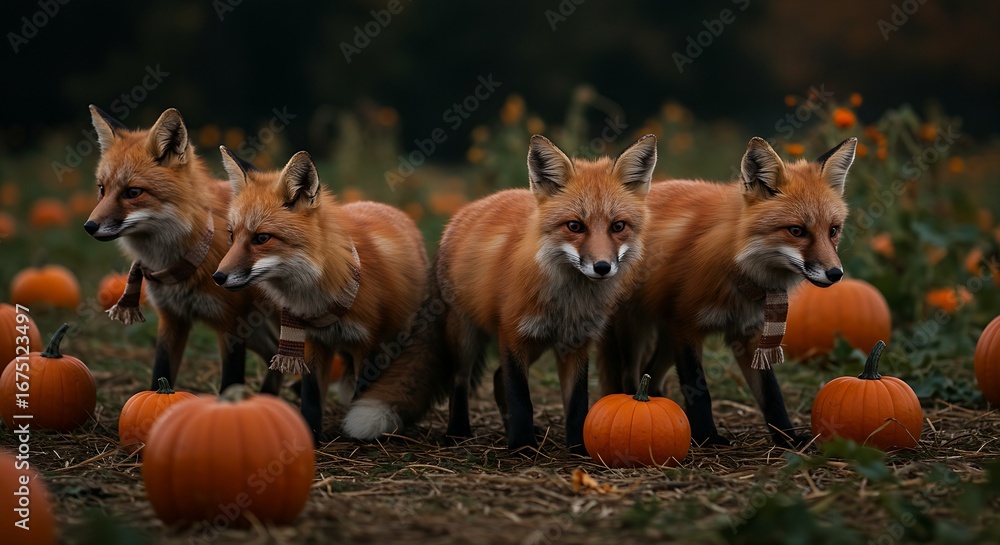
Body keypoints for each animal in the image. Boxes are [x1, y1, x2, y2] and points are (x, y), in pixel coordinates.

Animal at [83, 106, 283, 395]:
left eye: (133, 192)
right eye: (102, 189)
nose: (89, 226)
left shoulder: (231, 325)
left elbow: (230, 382)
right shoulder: (172, 318)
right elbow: (160, 372)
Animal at [213, 148, 428, 438]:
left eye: (262, 238)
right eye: (231, 236)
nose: (217, 277)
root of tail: (388, 207)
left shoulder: (369, 345)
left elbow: (362, 392)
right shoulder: (314, 340)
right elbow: (312, 397)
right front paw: (310, 435)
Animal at [343, 134, 657, 454]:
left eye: (618, 226)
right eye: (574, 226)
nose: (602, 267)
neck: (568, 301)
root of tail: (467, 210)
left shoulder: (576, 343)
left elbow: (577, 405)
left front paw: (578, 449)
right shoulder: (512, 334)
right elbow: (521, 399)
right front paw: (522, 446)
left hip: (536, 342)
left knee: (496, 378)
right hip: (465, 335)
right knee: (460, 379)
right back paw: (458, 432)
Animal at [597, 137, 857, 448]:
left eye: (833, 230)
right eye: (796, 231)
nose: (835, 274)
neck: (738, 270)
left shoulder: (747, 334)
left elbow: (772, 395)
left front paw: (787, 438)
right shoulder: (686, 327)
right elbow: (699, 391)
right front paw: (707, 437)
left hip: (666, 338)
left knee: (653, 378)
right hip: (635, 331)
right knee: (629, 377)